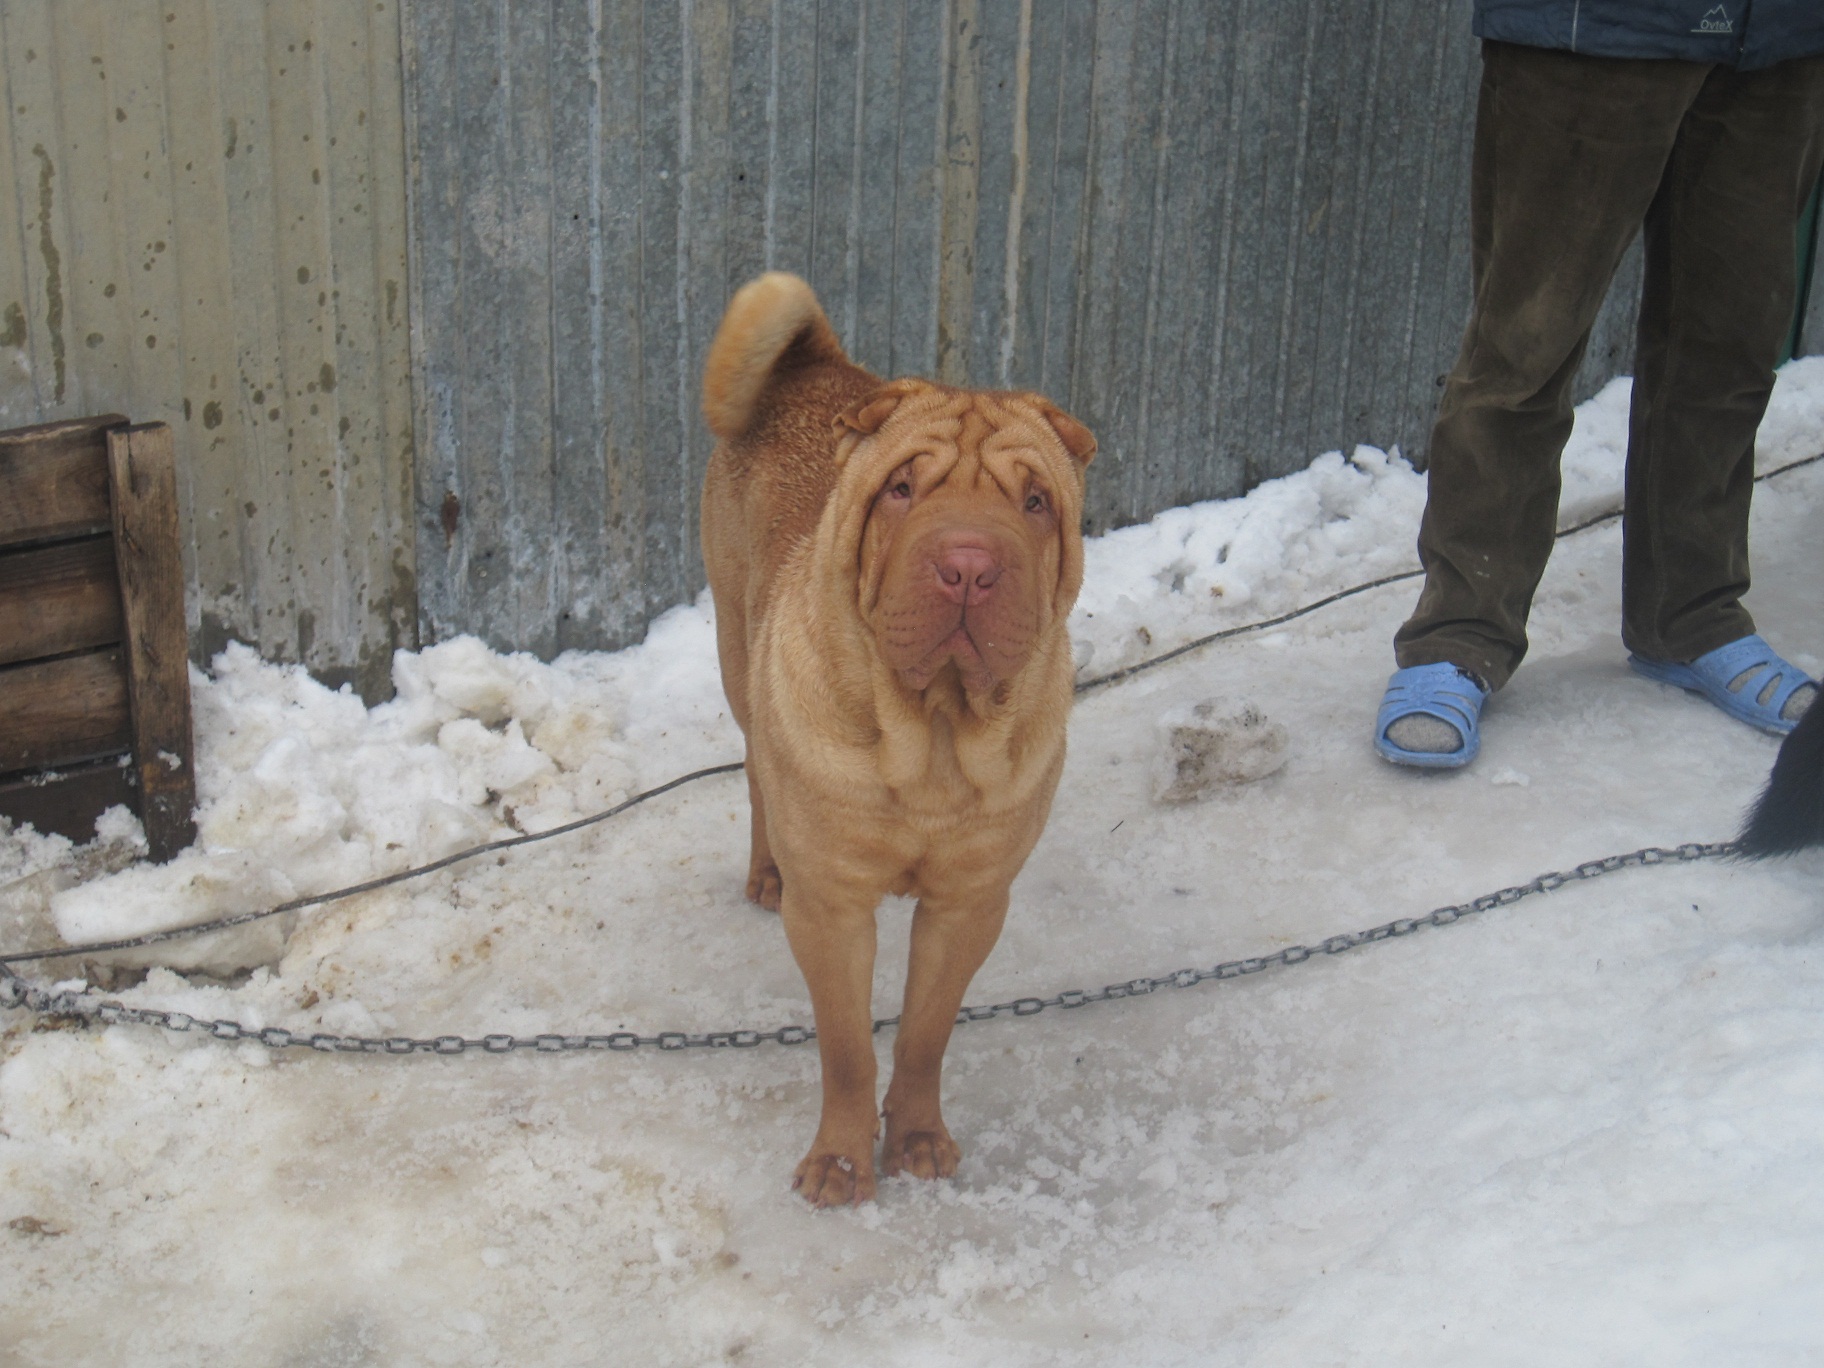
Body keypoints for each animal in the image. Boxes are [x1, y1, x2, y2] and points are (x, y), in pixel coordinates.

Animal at [699, 272, 1096, 1206]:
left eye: (1035, 502)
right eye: (902, 490)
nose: (968, 566)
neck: (935, 740)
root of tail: (811, 364)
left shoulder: (969, 903)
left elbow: (923, 1033)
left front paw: (914, 1138)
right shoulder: (832, 908)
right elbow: (847, 1047)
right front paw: (841, 1164)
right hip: (736, 651)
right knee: (756, 769)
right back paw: (765, 870)